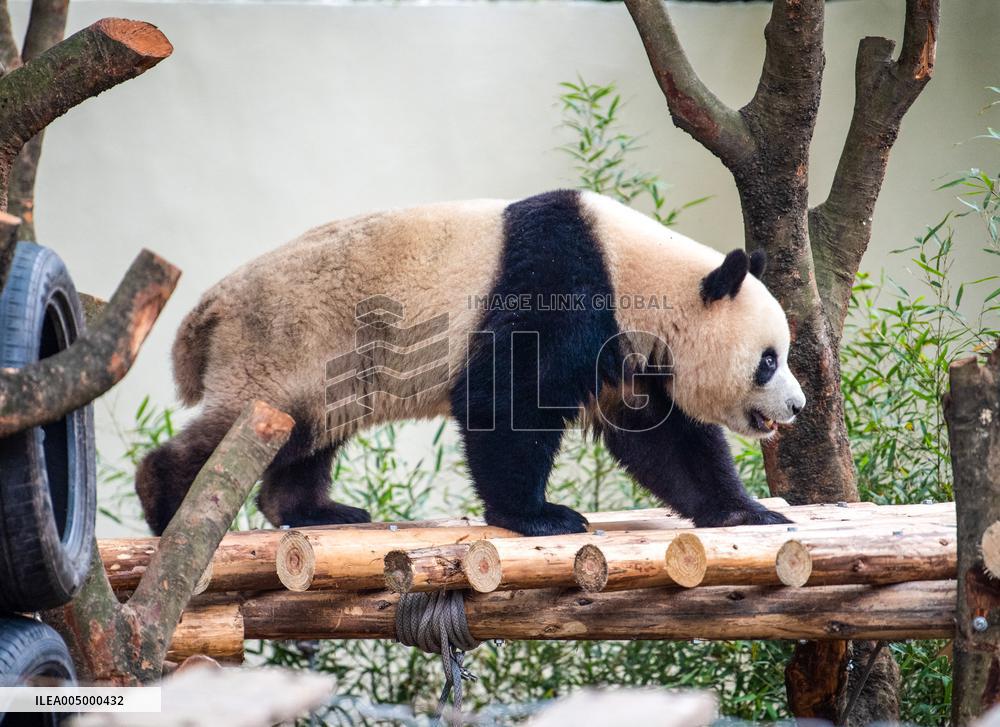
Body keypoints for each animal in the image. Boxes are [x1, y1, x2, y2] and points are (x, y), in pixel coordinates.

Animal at [136, 189, 805, 537]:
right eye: (768, 362)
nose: (798, 406)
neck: (636, 272)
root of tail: (207, 311)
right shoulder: (560, 289)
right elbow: (505, 401)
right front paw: (540, 517)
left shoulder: (628, 353)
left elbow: (665, 441)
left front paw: (747, 512)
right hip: (287, 339)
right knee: (246, 427)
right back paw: (169, 503)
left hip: (329, 366)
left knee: (307, 434)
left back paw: (313, 511)